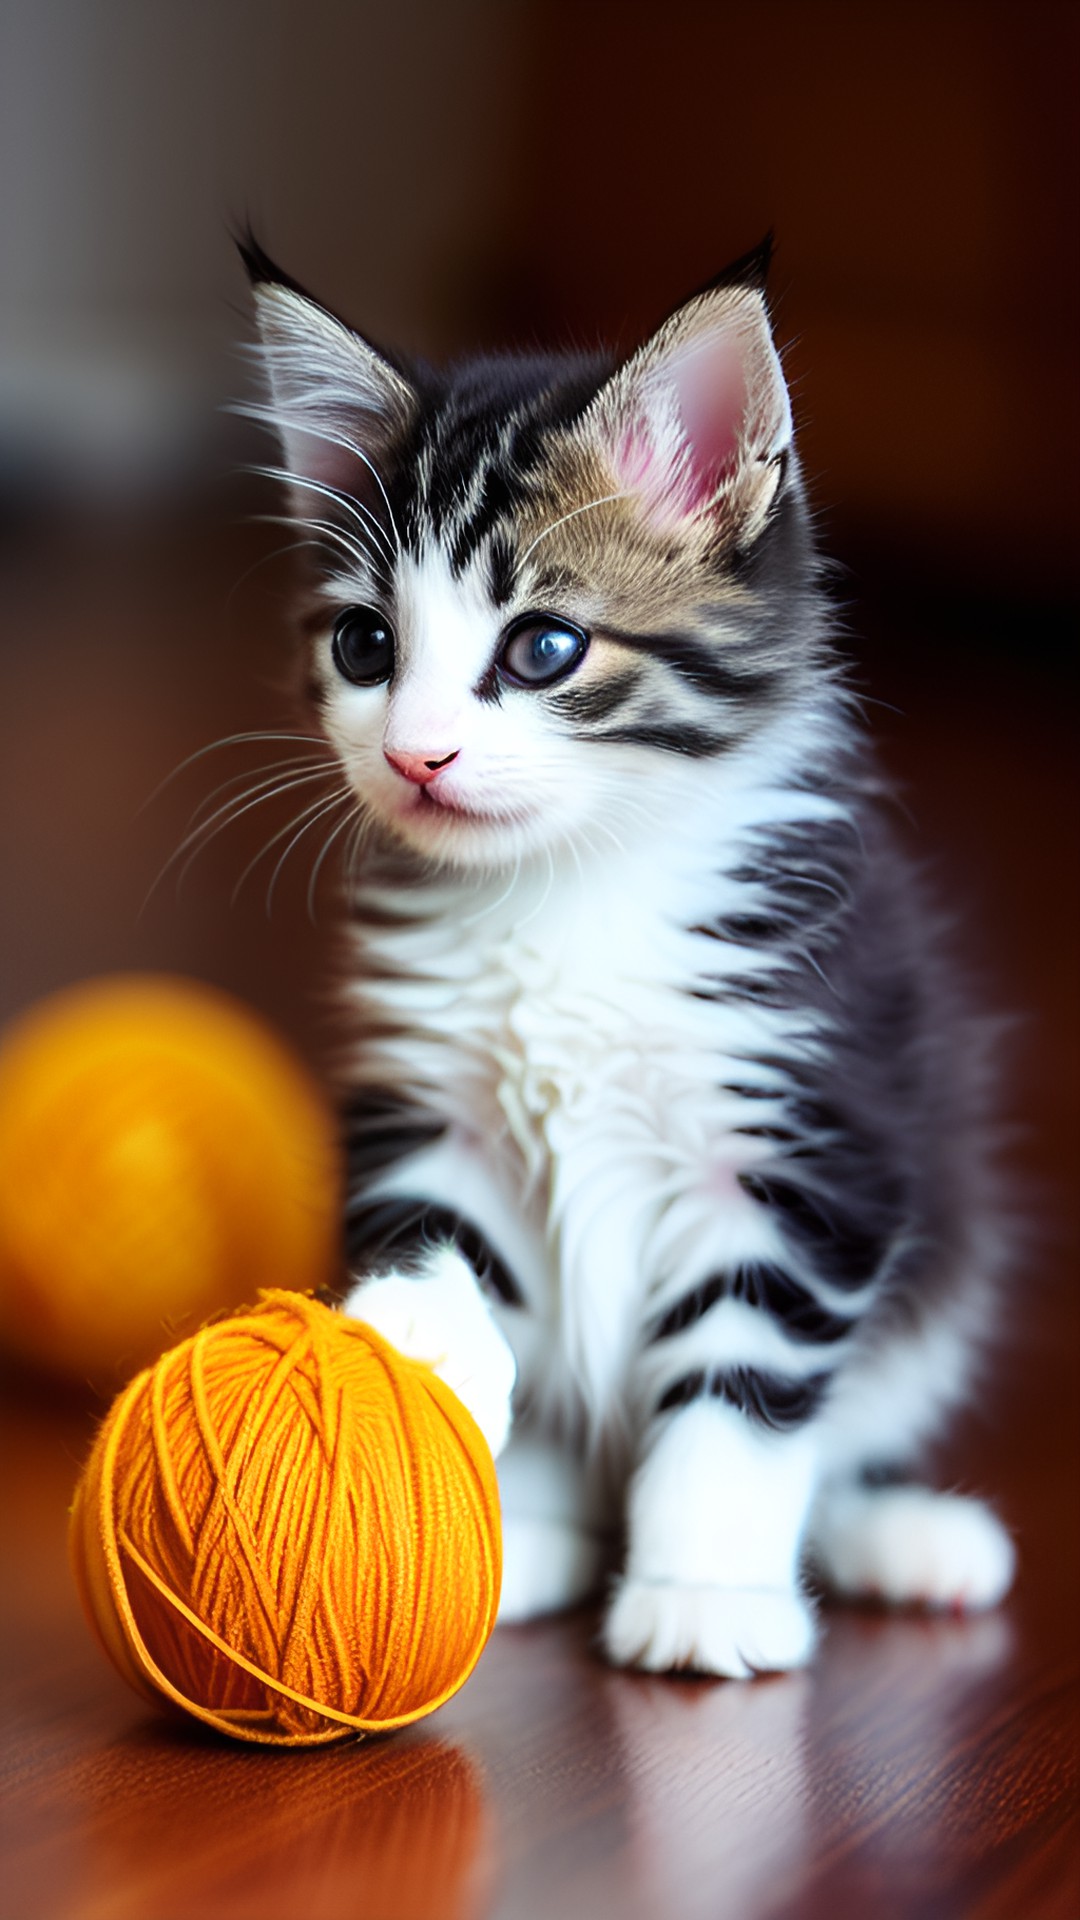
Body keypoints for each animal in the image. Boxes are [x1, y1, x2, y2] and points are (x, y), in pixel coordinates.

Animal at [242, 236, 1006, 1681]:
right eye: (367, 647)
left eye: (545, 647)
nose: (416, 755)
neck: (568, 892)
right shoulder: (427, 1097)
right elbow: (442, 1236)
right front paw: (422, 1338)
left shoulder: (806, 1139)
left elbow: (738, 1392)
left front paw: (704, 1592)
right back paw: (535, 1537)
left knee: (850, 1439)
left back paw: (906, 1541)